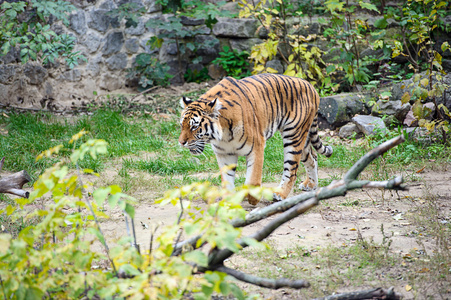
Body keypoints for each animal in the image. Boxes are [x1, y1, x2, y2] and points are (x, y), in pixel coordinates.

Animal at [179, 73, 332, 204]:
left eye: (194, 127)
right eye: (182, 125)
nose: (181, 142)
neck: (223, 136)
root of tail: (311, 86)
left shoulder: (257, 147)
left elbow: (253, 179)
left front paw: (252, 199)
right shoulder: (224, 153)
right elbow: (227, 180)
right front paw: (229, 202)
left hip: (293, 135)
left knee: (291, 169)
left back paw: (280, 194)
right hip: (302, 137)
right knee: (312, 157)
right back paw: (311, 184)